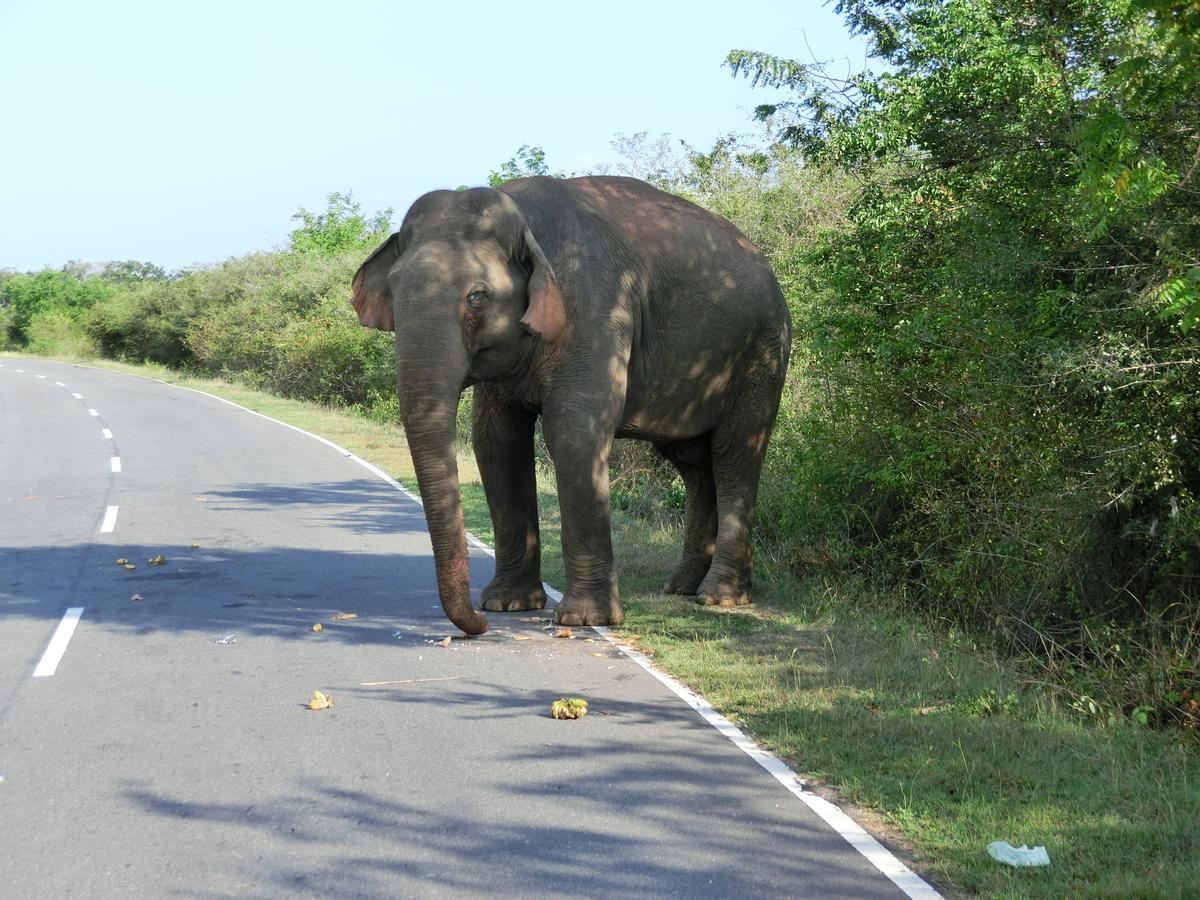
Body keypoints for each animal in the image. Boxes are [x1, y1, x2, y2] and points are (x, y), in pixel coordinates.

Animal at [350, 172, 792, 628]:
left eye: (477, 297)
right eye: (394, 290)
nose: (478, 626)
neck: (525, 218)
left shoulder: (597, 311)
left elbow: (574, 432)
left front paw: (583, 619)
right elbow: (497, 442)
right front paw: (507, 605)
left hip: (763, 352)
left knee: (734, 454)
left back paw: (720, 597)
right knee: (694, 465)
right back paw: (682, 586)